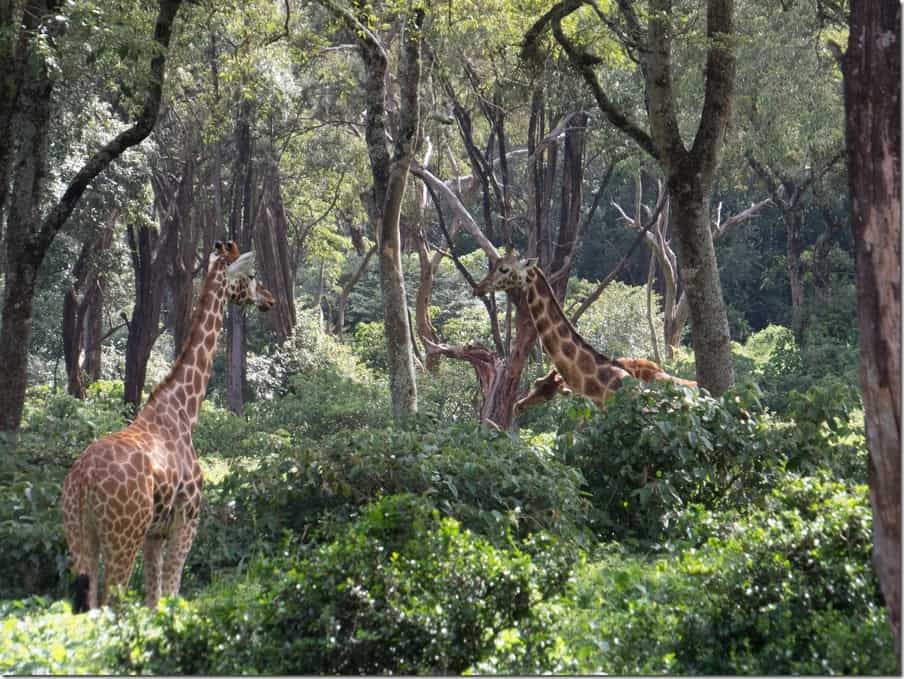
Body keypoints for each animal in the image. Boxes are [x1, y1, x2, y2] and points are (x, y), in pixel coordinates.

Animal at [61, 242, 276, 612]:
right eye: (251, 276)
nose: (270, 299)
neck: (184, 410)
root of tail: (84, 480)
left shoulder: (154, 534)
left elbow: (153, 601)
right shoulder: (185, 523)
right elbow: (172, 595)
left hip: (80, 538)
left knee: (87, 607)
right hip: (122, 536)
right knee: (110, 603)